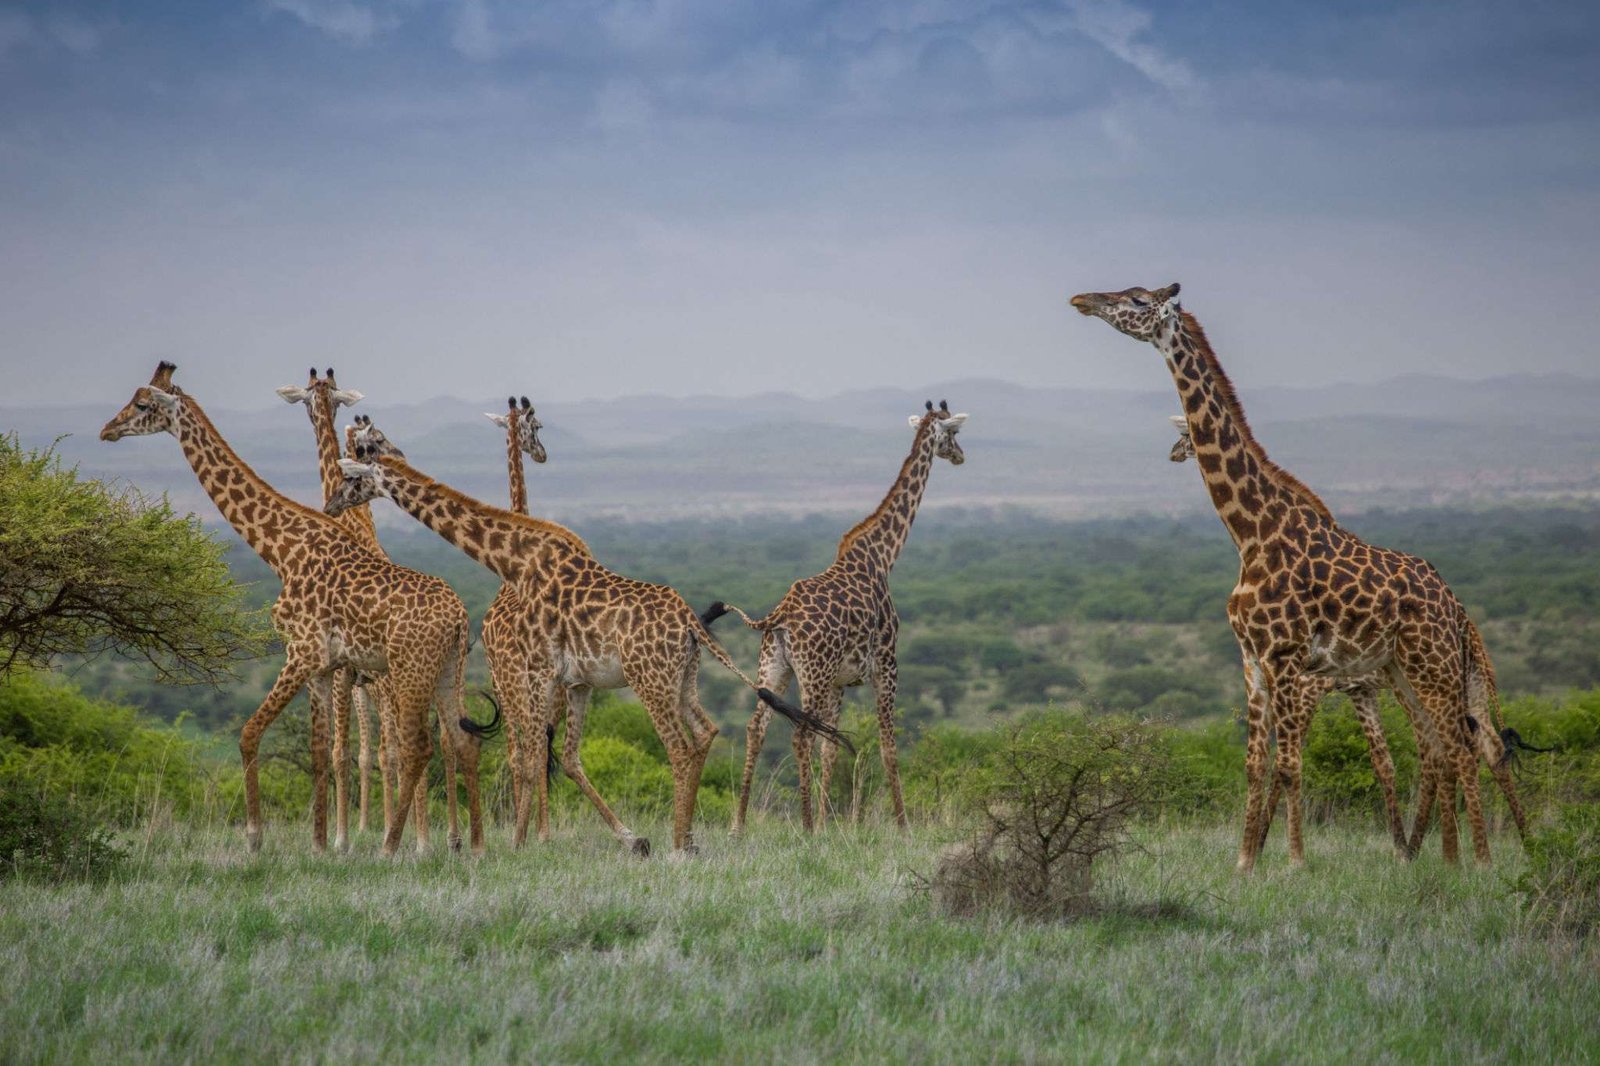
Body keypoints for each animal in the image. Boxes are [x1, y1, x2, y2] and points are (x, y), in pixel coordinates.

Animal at [101, 364, 499, 857]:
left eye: (141, 404)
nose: (107, 430)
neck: (281, 549)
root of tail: (461, 618)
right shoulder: (323, 665)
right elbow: (318, 749)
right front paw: (319, 845)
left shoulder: (303, 651)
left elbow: (251, 733)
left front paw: (256, 838)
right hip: (445, 670)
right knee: (459, 740)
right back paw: (472, 846)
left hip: (408, 671)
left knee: (417, 747)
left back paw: (394, 847)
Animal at [321, 422, 851, 857]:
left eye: (355, 472)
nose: (329, 503)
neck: (512, 561)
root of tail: (691, 623)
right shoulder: (574, 681)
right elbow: (559, 755)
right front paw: (622, 839)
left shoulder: (535, 667)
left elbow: (532, 755)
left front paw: (520, 844)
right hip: (682, 677)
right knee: (705, 733)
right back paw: (688, 838)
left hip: (649, 680)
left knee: (679, 748)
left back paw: (679, 846)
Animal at [710, 398, 966, 832]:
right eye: (954, 432)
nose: (961, 456)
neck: (883, 556)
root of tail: (778, 616)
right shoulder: (887, 664)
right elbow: (887, 745)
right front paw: (902, 826)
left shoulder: (841, 680)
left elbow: (831, 746)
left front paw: (831, 822)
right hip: (811, 672)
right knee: (799, 736)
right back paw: (805, 827)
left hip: (775, 667)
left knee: (756, 729)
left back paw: (739, 826)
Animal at [1075, 286, 1523, 870]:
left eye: (1135, 299)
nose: (1081, 300)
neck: (1251, 533)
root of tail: (1455, 605)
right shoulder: (1251, 658)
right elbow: (1254, 765)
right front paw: (1244, 864)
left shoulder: (1287, 659)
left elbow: (1289, 765)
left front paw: (1293, 863)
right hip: (1402, 671)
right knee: (1442, 748)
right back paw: (1445, 857)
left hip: (1435, 667)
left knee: (1465, 748)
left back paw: (1476, 862)